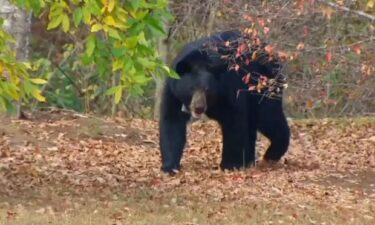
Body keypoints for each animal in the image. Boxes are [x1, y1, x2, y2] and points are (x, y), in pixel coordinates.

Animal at [159, 29, 290, 174]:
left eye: (207, 90)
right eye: (191, 88)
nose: (199, 108)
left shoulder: (228, 87)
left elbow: (233, 119)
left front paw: (229, 164)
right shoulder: (173, 91)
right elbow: (172, 119)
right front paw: (169, 166)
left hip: (263, 83)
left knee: (268, 116)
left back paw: (272, 153)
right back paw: (249, 160)